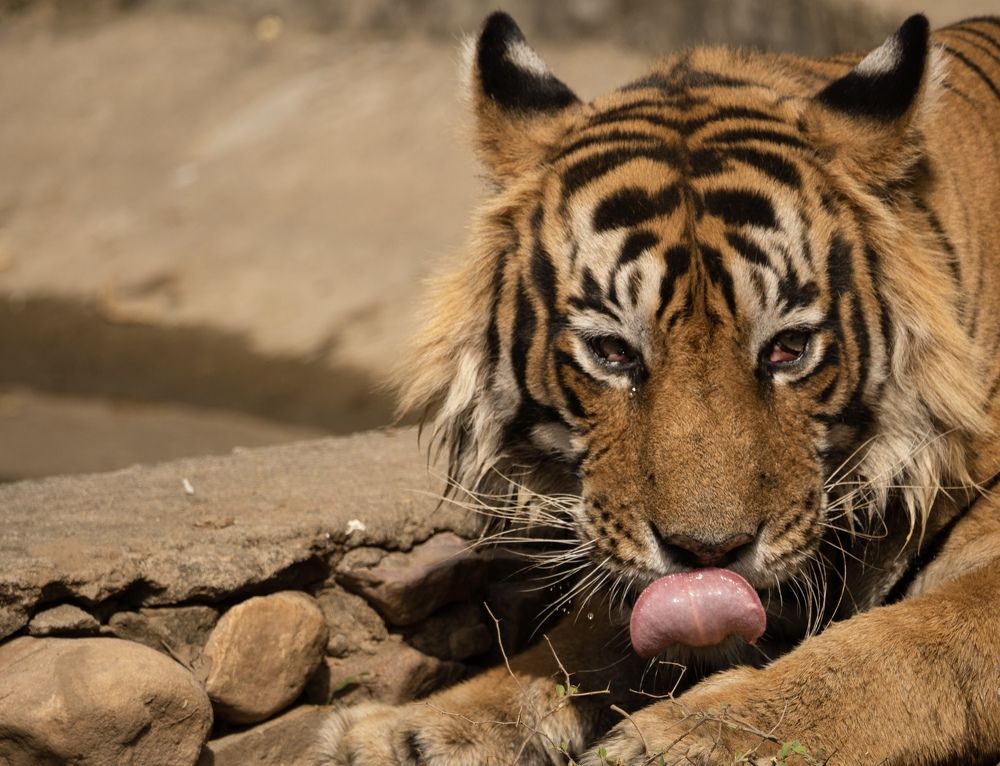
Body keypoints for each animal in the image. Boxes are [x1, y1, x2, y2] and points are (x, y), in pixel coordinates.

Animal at [316, 11, 1000, 766]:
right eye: (613, 353)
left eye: (788, 348)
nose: (708, 556)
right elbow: (585, 640)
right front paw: (409, 731)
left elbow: (907, 645)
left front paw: (696, 738)